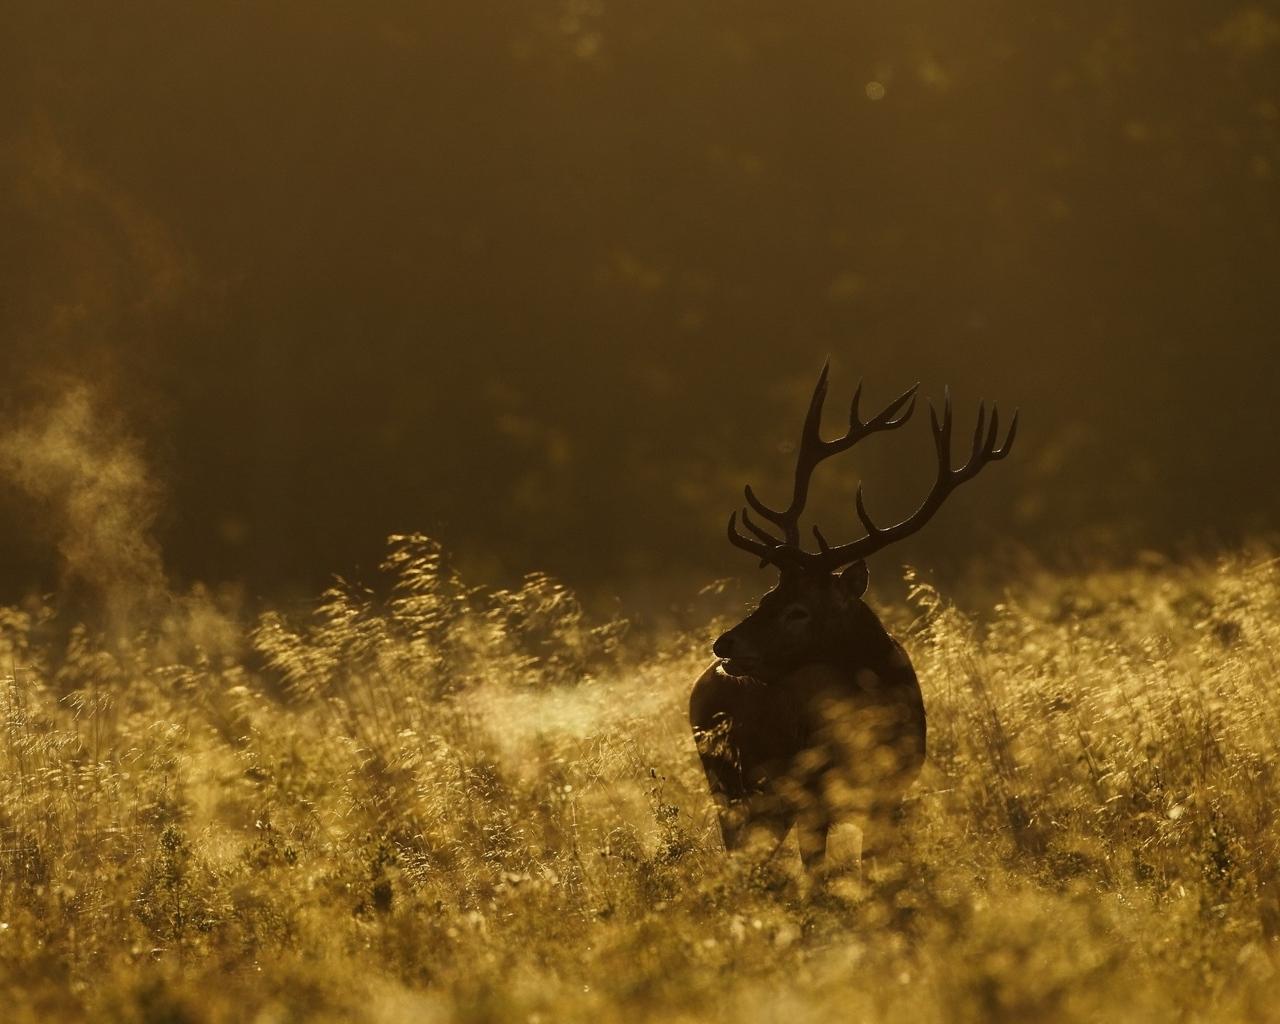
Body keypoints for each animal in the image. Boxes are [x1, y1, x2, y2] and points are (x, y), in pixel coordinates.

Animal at [691, 363, 1018, 875]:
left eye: (798, 610)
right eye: (766, 594)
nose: (724, 644)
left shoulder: (891, 793)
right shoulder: (811, 798)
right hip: (730, 787)